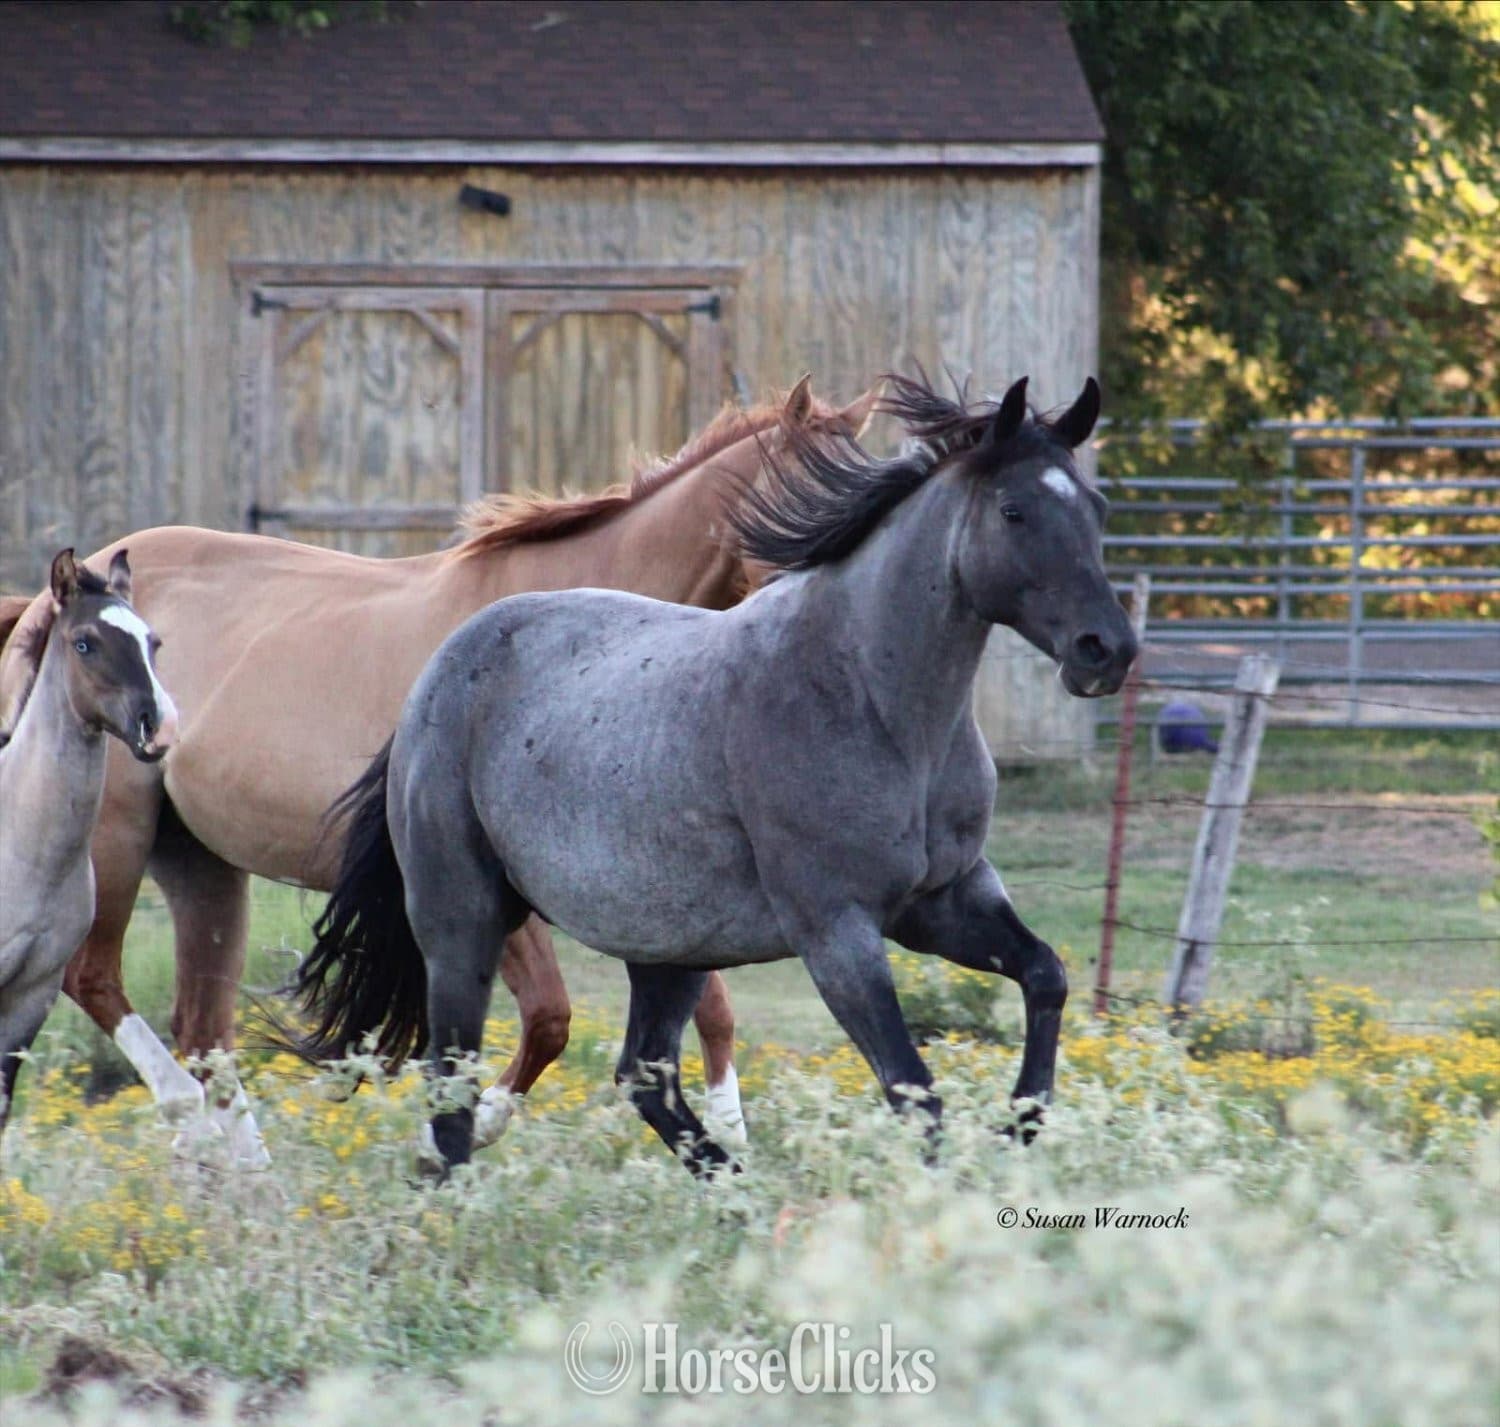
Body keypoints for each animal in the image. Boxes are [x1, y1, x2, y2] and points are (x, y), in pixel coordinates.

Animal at [287, 373, 1137, 1175]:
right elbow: (914, 1090)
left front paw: (1020, 1126)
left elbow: (1046, 975)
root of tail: (436, 672)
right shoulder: (837, 930)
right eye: (1014, 510)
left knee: (644, 1074)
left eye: (1096, 507)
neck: (874, 701)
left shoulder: (943, 901)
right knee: (454, 1084)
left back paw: (738, 1193)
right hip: (463, 922)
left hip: (670, 948)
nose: (1107, 650)